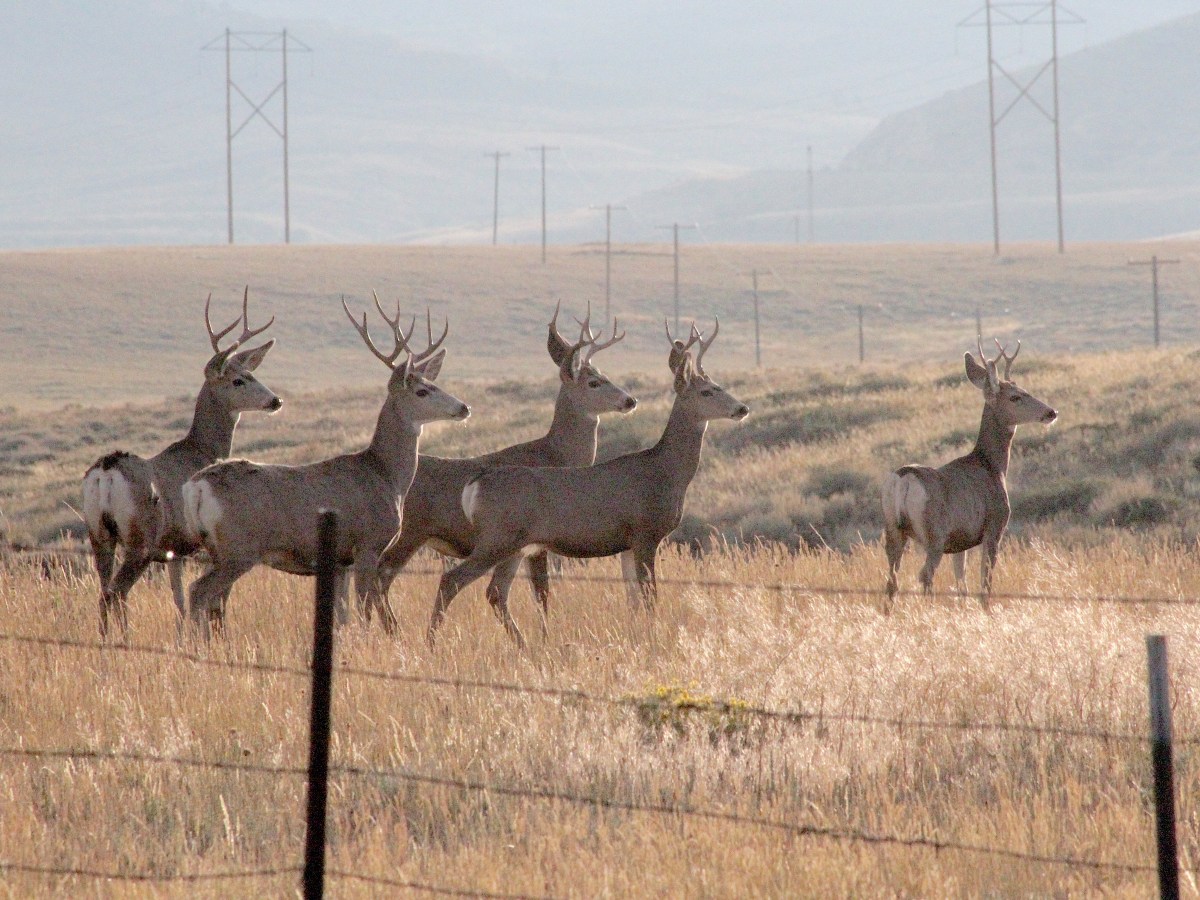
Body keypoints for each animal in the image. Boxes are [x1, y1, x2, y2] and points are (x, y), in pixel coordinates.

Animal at [82, 289, 281, 637]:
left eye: (253, 374)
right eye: (238, 381)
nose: (275, 400)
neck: (201, 450)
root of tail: (106, 472)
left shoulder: (174, 551)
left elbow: (178, 601)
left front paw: (182, 638)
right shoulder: (202, 545)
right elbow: (214, 599)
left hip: (100, 535)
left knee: (104, 591)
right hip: (139, 541)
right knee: (117, 592)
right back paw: (125, 640)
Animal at [181, 295, 470, 640]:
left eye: (431, 382)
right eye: (422, 391)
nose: (464, 407)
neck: (384, 476)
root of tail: (197, 485)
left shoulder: (340, 562)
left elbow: (342, 616)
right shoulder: (367, 545)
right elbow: (364, 610)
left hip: (216, 549)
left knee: (206, 598)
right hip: (238, 549)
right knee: (199, 592)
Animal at [371, 303, 637, 636]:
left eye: (604, 373)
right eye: (594, 382)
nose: (630, 400)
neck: (555, 454)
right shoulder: (537, 542)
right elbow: (542, 592)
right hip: (410, 533)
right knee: (381, 578)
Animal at [424, 318, 749, 649]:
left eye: (720, 385)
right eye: (708, 391)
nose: (742, 409)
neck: (665, 472)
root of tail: (476, 483)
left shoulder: (627, 543)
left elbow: (634, 600)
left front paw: (638, 639)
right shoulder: (646, 532)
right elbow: (650, 597)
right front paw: (654, 640)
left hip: (513, 545)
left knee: (493, 591)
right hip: (497, 539)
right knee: (452, 580)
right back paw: (432, 644)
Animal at [881, 338, 1057, 613]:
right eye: (1016, 397)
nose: (1051, 412)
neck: (992, 466)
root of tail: (905, 478)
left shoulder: (959, 542)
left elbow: (961, 583)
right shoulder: (994, 526)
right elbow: (985, 582)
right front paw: (986, 611)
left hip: (892, 530)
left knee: (892, 579)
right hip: (934, 533)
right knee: (925, 574)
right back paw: (929, 612)